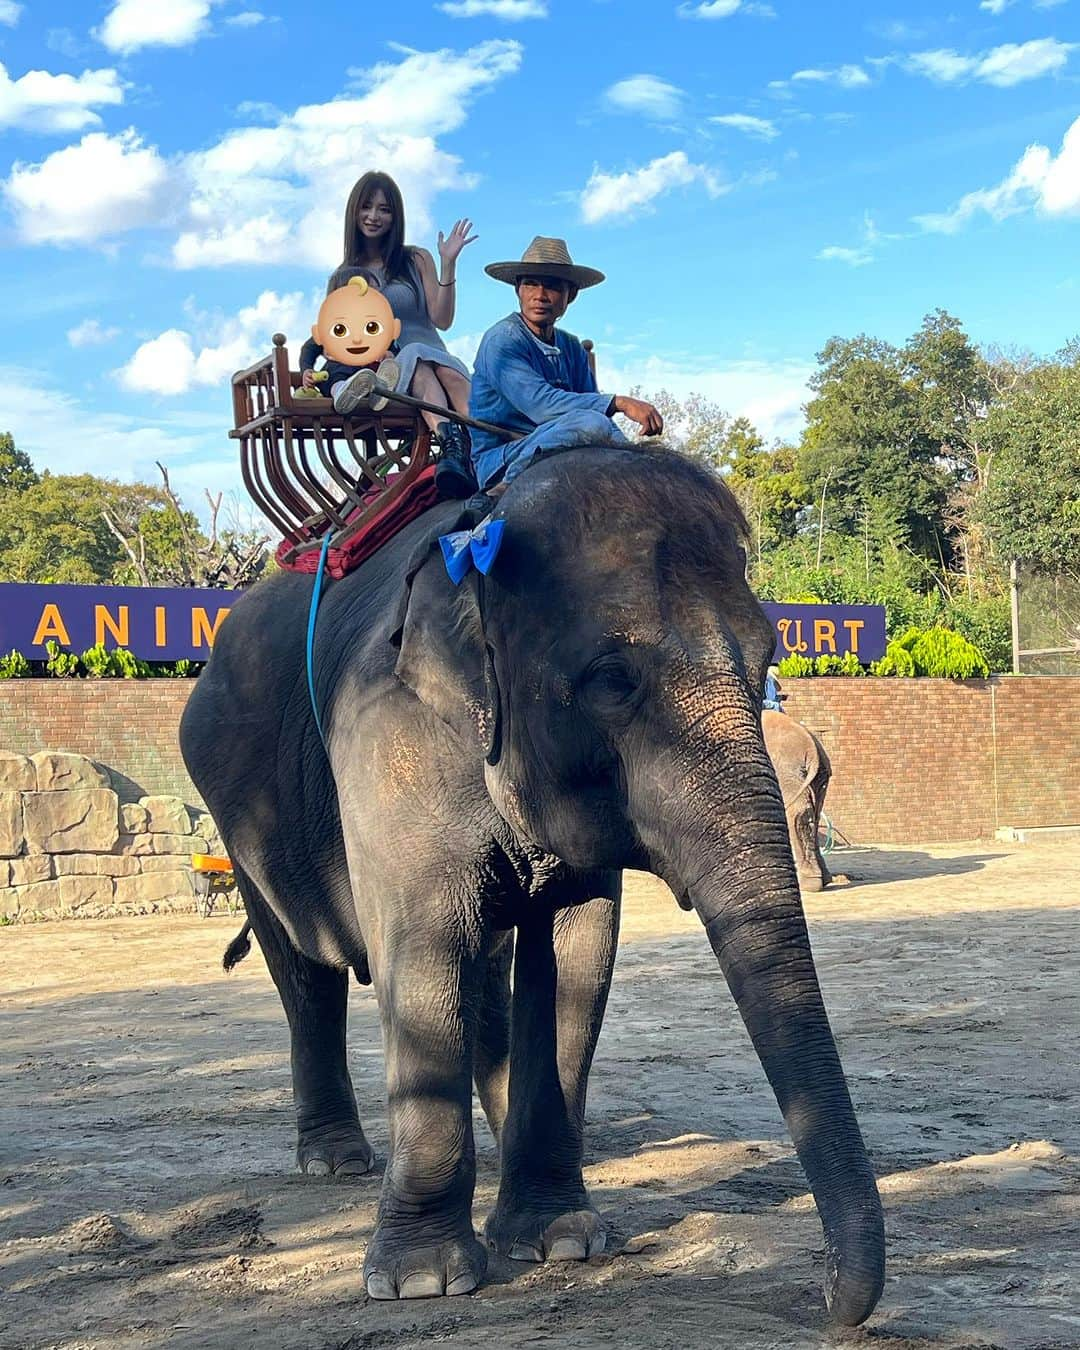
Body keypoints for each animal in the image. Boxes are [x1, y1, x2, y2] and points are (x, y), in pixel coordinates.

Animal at [761, 707, 831, 896]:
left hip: (784, 772)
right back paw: (825, 879)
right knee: (815, 813)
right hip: (819, 779)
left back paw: (809, 884)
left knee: (796, 813)